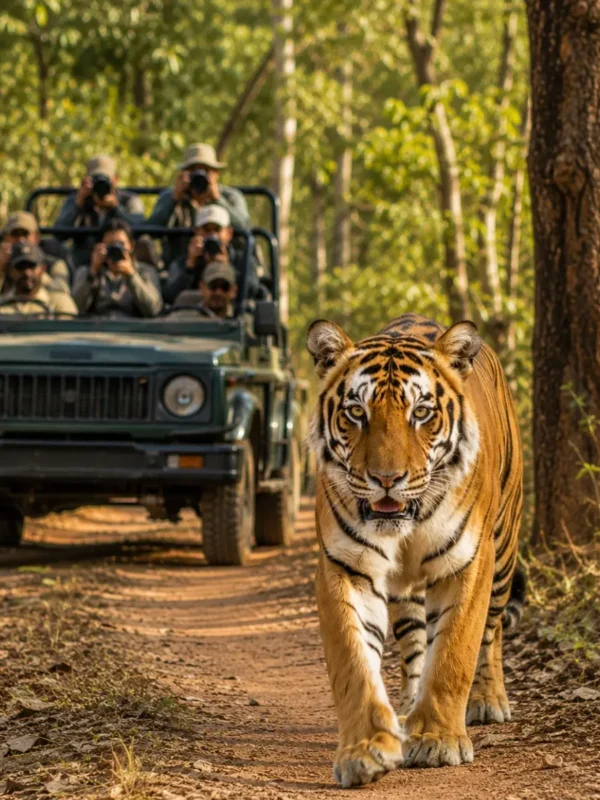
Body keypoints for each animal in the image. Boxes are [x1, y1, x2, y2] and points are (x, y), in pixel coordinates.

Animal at [306, 313, 523, 788]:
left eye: (421, 413)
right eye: (356, 412)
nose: (387, 479)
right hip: (405, 593)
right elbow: (353, 661)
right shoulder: (345, 565)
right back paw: (406, 711)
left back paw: (487, 700)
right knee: (414, 646)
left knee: (492, 631)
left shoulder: (469, 562)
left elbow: (456, 651)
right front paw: (365, 750)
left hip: (503, 553)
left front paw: (439, 740)